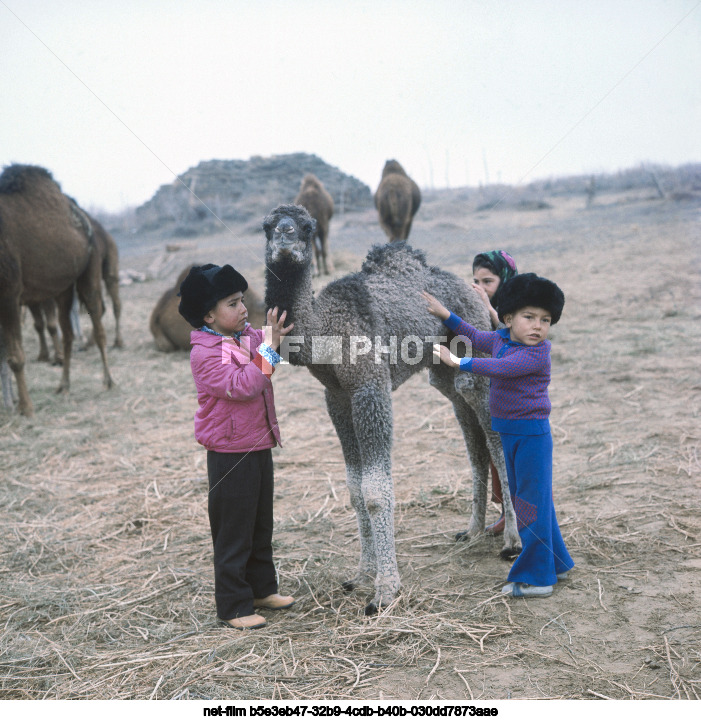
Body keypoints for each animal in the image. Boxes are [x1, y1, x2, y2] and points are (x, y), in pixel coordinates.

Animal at [0, 164, 114, 416]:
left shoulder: (9, 293)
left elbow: (15, 357)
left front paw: (25, 407)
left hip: (90, 265)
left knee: (97, 320)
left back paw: (108, 381)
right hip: (63, 287)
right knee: (67, 333)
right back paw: (64, 385)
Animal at [263, 204, 519, 614]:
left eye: (305, 227)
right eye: (268, 226)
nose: (285, 239)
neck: (325, 325)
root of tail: (477, 293)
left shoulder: (371, 387)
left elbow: (374, 491)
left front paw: (385, 590)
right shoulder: (336, 396)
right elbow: (354, 488)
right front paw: (361, 574)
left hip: (479, 356)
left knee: (494, 439)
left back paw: (512, 540)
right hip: (445, 371)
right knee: (472, 437)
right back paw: (473, 529)